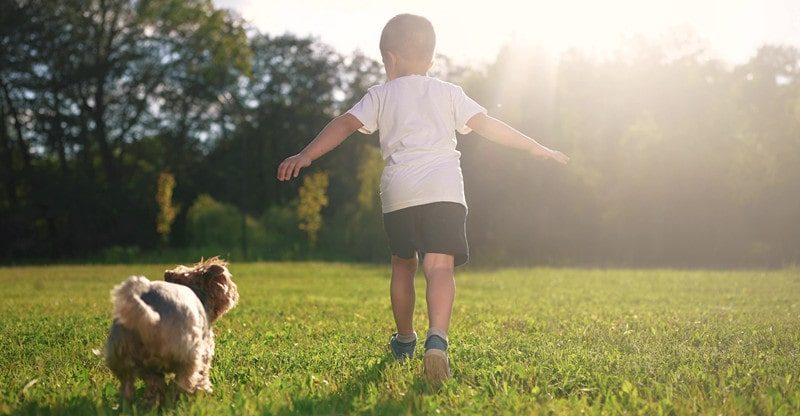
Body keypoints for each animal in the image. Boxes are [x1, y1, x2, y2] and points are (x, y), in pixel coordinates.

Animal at [101, 258, 238, 402]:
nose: (235, 291)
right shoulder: (205, 350)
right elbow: (203, 371)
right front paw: (204, 388)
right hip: (187, 354)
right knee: (184, 380)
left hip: (124, 356)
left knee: (143, 384)